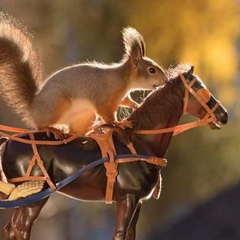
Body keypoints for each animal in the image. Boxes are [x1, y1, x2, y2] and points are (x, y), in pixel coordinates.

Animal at [0, 14, 167, 136]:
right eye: (151, 70)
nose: (165, 79)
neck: (123, 80)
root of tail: (33, 107)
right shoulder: (104, 99)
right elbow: (107, 115)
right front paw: (119, 123)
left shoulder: (121, 97)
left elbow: (126, 101)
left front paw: (135, 105)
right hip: (56, 105)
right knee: (39, 125)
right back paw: (50, 129)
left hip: (86, 115)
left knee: (74, 132)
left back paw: (90, 129)